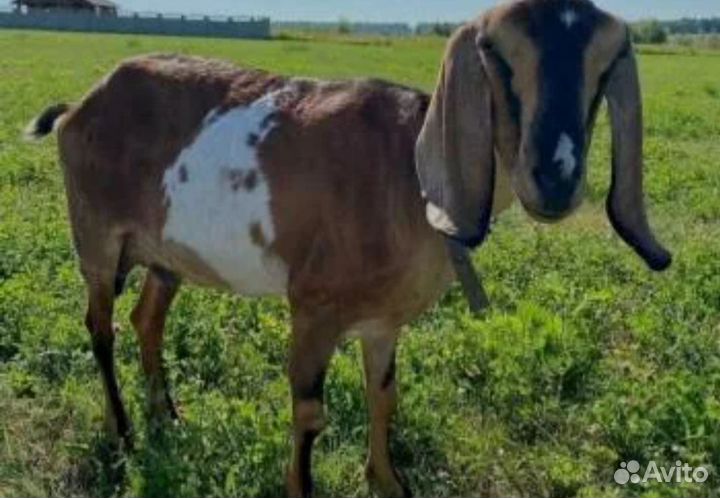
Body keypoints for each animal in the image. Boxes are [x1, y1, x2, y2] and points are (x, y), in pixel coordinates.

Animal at [27, 1, 671, 496]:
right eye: (498, 56)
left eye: (603, 66)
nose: (554, 179)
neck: (404, 177)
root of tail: (80, 107)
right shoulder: (313, 307)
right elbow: (309, 411)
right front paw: (302, 487)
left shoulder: (382, 321)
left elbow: (383, 396)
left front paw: (388, 481)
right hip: (96, 236)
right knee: (100, 327)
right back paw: (124, 432)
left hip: (167, 254)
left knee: (147, 320)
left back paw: (169, 417)